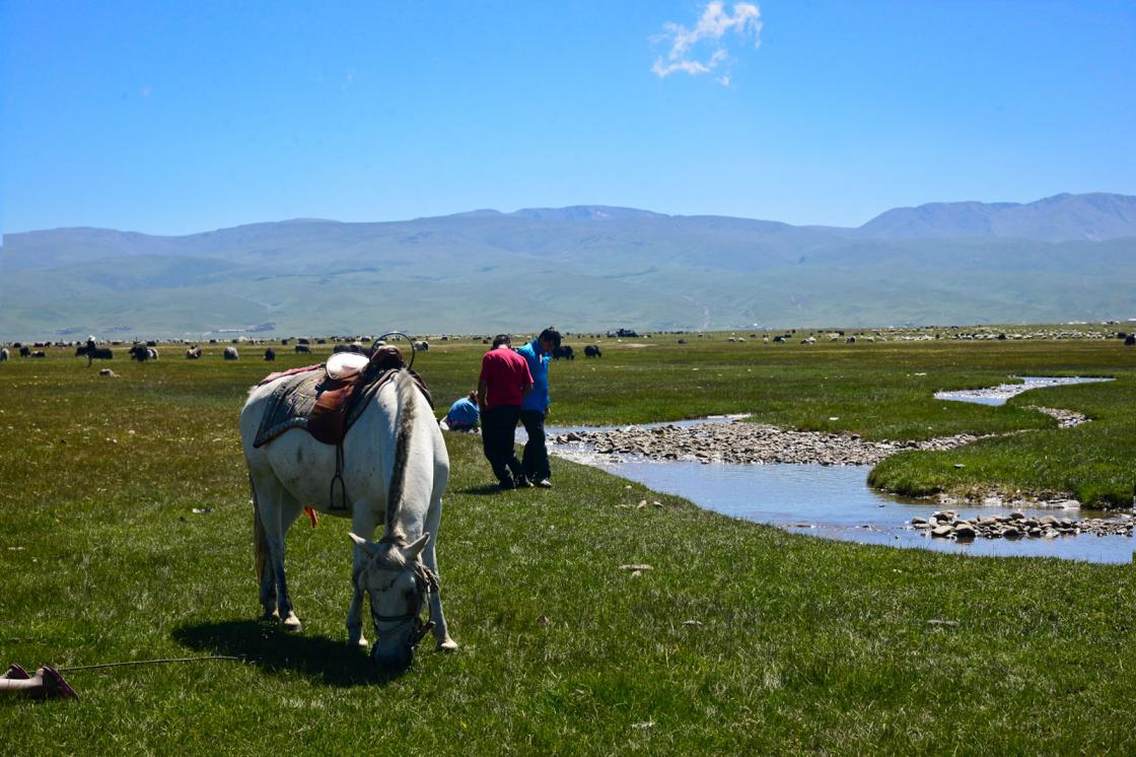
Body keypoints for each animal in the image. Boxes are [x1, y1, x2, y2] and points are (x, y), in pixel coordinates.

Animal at [239, 365, 456, 668]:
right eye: (371, 590)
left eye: (411, 592)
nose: (389, 657)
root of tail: (256, 392)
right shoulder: (363, 514)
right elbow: (357, 570)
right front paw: (356, 634)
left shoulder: (435, 509)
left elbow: (432, 569)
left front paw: (444, 638)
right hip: (265, 482)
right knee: (276, 544)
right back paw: (287, 613)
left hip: (290, 495)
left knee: (274, 541)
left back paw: (269, 604)